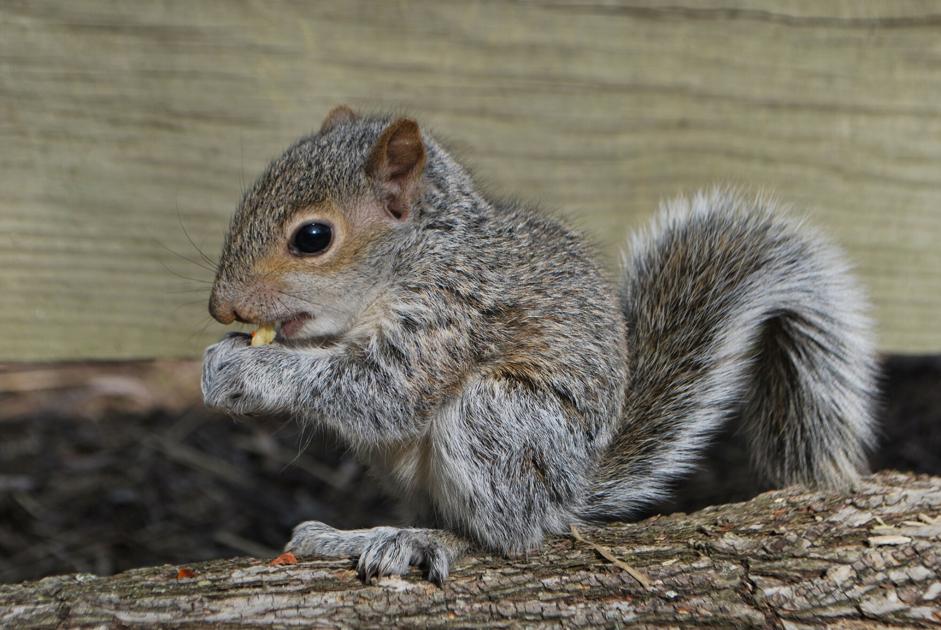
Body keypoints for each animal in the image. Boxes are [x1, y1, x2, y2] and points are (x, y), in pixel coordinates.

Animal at [201, 105, 877, 584]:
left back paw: (424, 541)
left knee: (506, 535)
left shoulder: (452, 316)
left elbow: (384, 393)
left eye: (313, 237)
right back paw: (351, 536)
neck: (413, 259)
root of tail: (571, 492)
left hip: (498, 420)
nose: (221, 308)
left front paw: (247, 369)